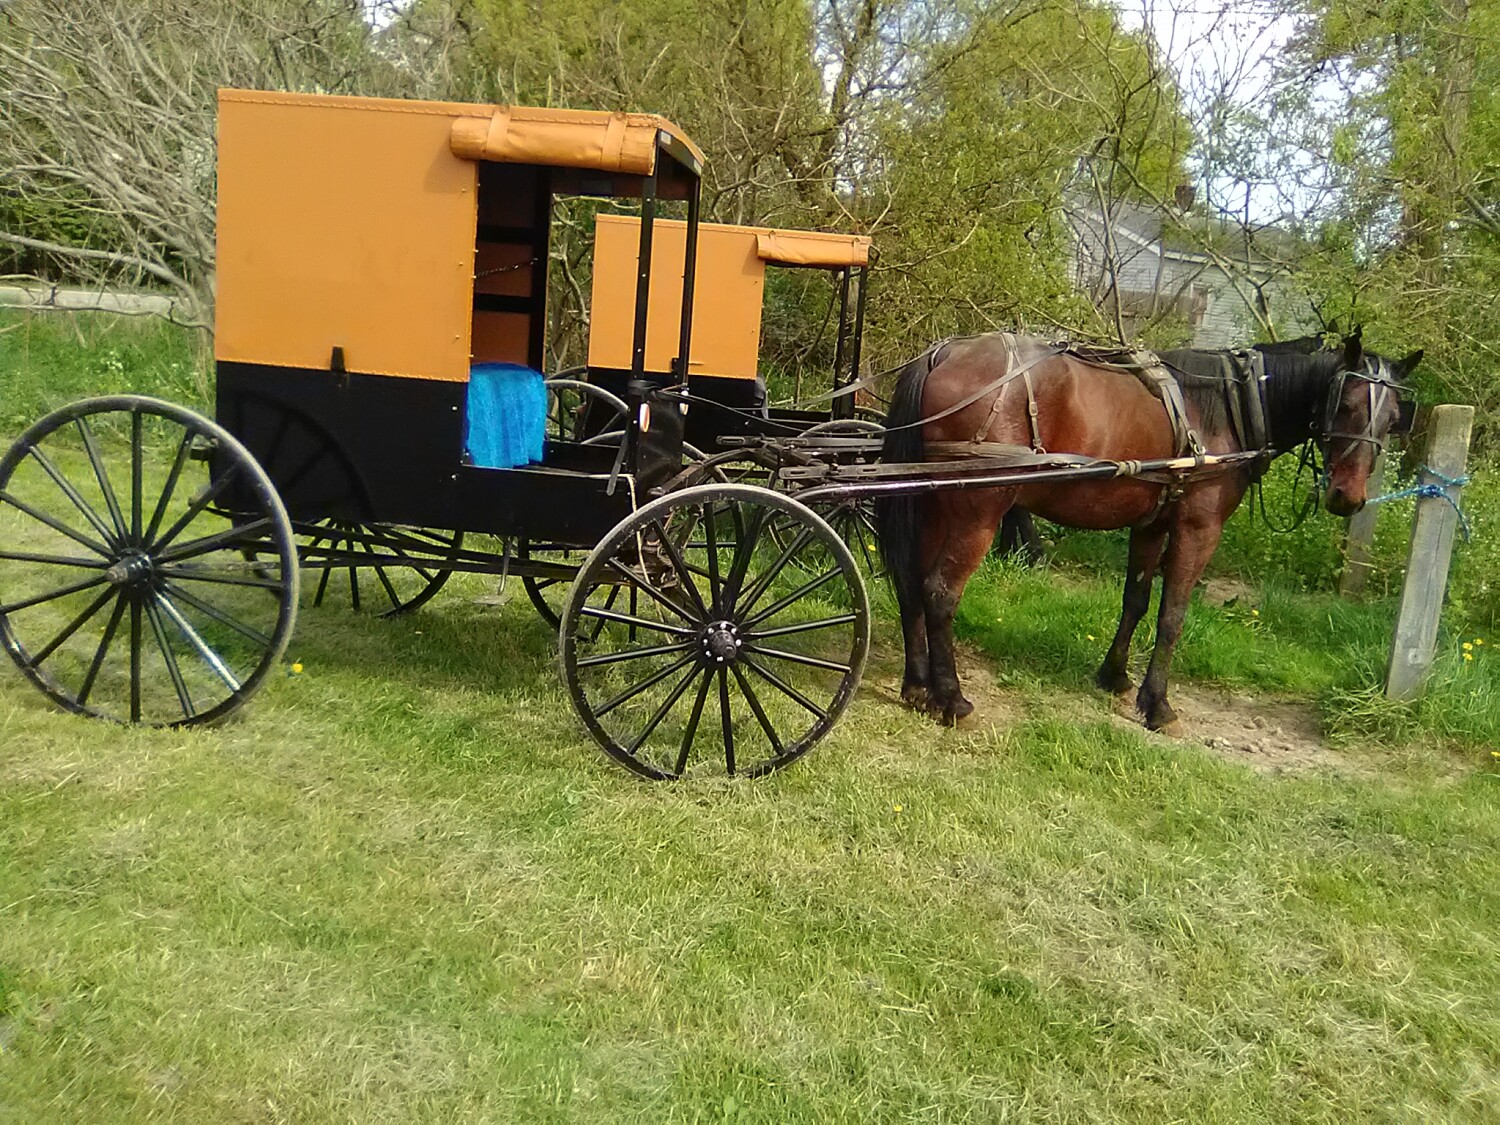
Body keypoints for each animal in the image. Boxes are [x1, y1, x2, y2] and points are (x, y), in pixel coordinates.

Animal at [875, 330, 1421, 730]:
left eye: (1394, 416)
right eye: (1345, 405)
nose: (1348, 497)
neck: (1227, 407)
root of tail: (942, 353)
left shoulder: (1152, 523)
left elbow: (1135, 600)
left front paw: (1114, 676)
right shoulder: (1199, 528)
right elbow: (1173, 615)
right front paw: (1157, 704)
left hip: (932, 503)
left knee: (910, 585)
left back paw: (917, 686)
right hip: (977, 511)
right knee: (940, 592)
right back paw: (951, 699)